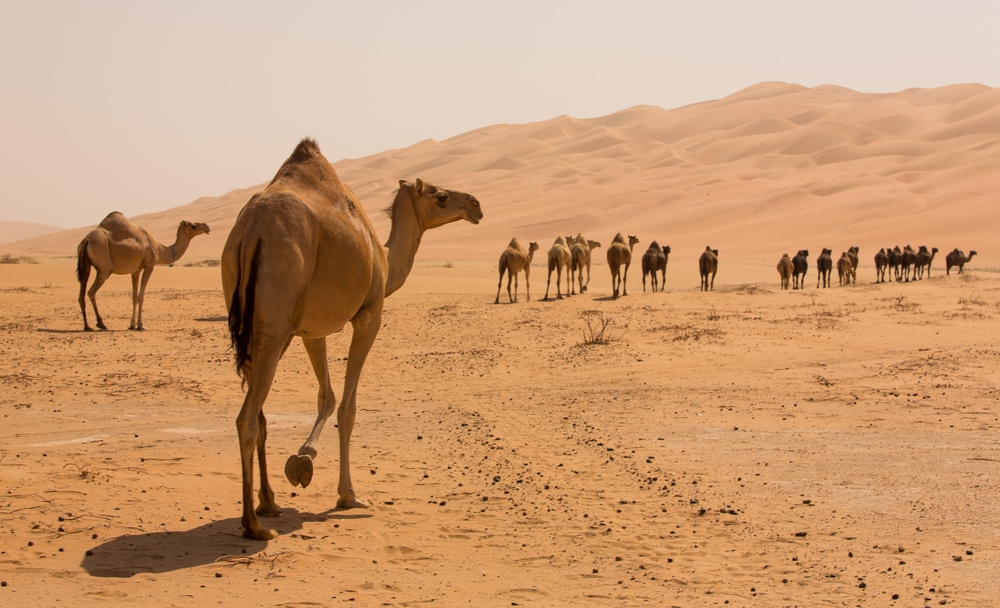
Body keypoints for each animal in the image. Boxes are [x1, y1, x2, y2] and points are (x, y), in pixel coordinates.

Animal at [76, 212, 210, 331]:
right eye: (193, 226)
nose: (207, 227)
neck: (160, 249)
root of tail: (86, 240)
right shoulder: (149, 266)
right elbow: (141, 296)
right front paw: (141, 325)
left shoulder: (135, 270)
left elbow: (134, 296)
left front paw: (132, 325)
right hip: (104, 268)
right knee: (91, 292)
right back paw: (101, 323)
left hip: (86, 265)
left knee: (82, 290)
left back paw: (87, 326)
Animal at [222, 139, 482, 540]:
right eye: (440, 196)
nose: (475, 204)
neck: (385, 259)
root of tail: (252, 230)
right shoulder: (369, 316)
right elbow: (348, 407)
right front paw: (348, 495)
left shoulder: (311, 328)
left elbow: (326, 396)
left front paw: (303, 461)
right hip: (274, 325)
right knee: (247, 419)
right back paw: (254, 526)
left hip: (256, 325)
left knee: (259, 414)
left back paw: (269, 504)